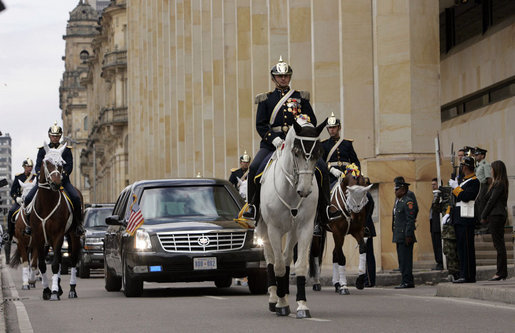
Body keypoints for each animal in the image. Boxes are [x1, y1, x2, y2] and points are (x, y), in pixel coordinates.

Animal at [29, 144, 82, 300]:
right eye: (47, 162)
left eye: (62, 164)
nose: (56, 183)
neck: (47, 203)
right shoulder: (38, 236)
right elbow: (42, 264)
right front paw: (47, 290)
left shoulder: (58, 234)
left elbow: (54, 264)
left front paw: (53, 292)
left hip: (73, 235)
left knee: (72, 260)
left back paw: (71, 290)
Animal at [256, 116, 326, 316]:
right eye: (296, 153)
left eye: (318, 153)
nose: (305, 190)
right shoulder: (274, 229)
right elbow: (278, 265)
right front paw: (281, 303)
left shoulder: (305, 228)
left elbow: (300, 265)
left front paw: (302, 304)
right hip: (263, 228)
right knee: (271, 259)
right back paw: (274, 297)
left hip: (293, 230)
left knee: (287, 258)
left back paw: (284, 293)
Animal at [326, 165, 370, 294]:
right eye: (347, 193)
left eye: (364, 195)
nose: (356, 217)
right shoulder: (338, 232)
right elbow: (341, 257)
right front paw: (344, 286)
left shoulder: (357, 230)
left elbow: (363, 248)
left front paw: (360, 280)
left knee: (334, 253)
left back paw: (336, 284)